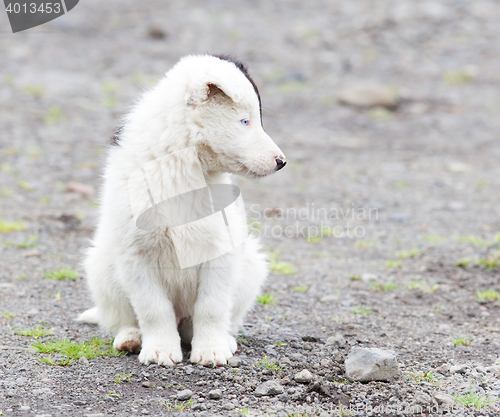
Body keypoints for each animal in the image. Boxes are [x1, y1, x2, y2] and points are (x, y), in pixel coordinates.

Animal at [78, 54, 290, 364]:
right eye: (244, 121)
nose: (281, 162)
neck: (183, 168)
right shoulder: (136, 255)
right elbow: (153, 309)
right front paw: (160, 350)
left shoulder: (220, 250)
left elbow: (211, 307)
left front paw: (211, 350)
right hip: (101, 266)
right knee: (122, 318)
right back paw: (131, 337)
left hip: (251, 266)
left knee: (209, 321)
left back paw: (224, 340)